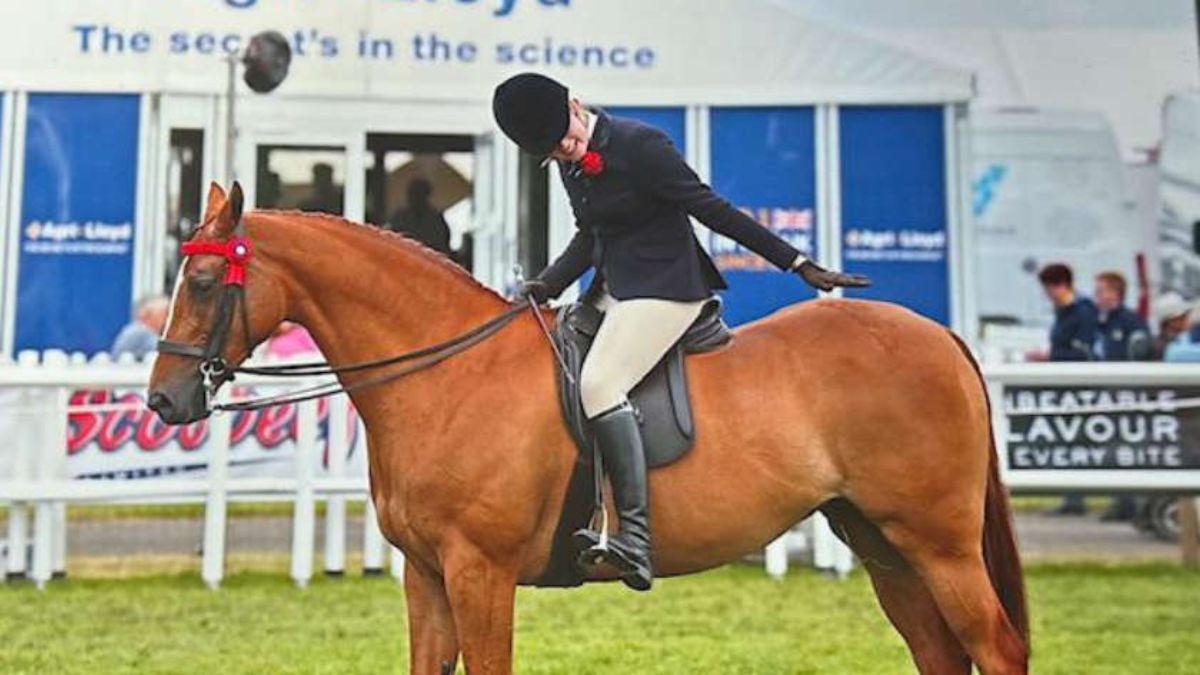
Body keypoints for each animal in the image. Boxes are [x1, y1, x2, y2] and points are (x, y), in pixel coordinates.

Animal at [148, 183, 1029, 674]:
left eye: (204, 279)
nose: (163, 402)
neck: (448, 375)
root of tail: (939, 334)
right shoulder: (426, 576)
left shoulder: (479, 573)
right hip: (884, 544)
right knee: (941, 654)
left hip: (939, 544)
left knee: (996, 648)